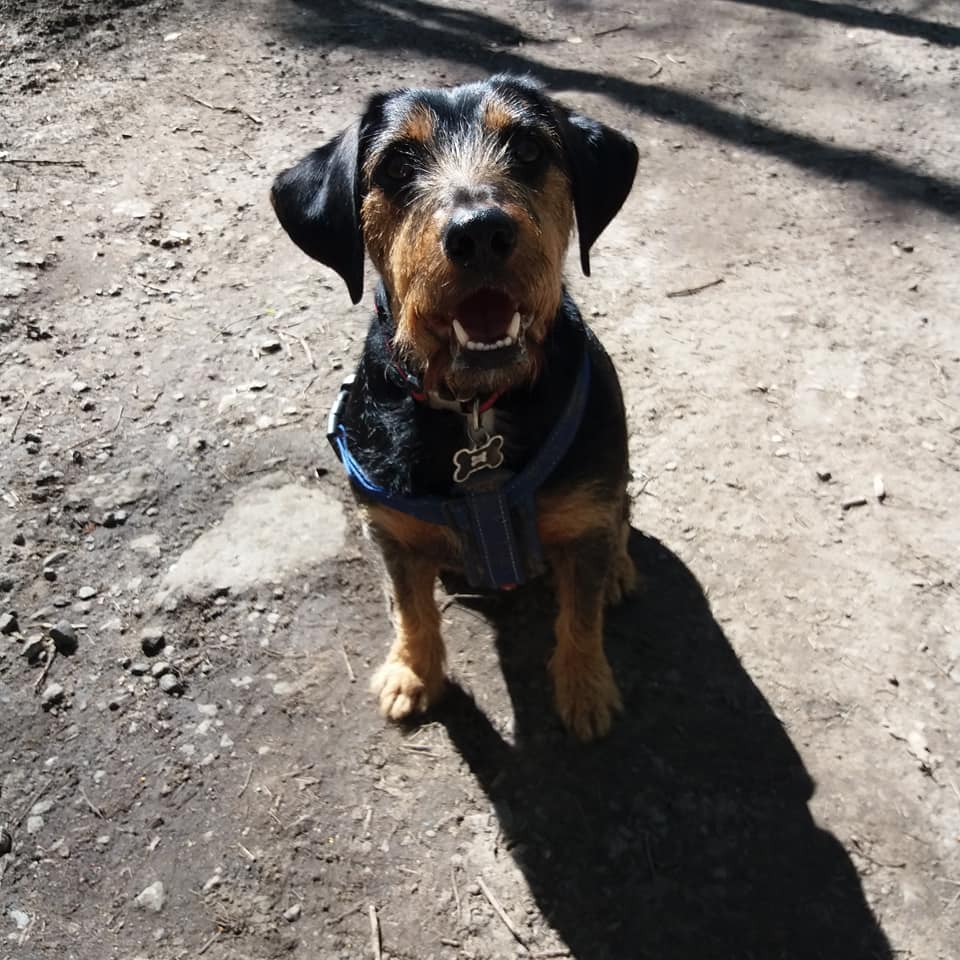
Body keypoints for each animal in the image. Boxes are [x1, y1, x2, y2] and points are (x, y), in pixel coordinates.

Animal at [272, 74, 638, 740]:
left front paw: (585, 688)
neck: (476, 406)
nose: (479, 232)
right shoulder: (391, 532)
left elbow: (581, 613)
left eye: (528, 149)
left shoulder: (584, 518)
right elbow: (412, 609)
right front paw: (413, 674)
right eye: (395, 165)